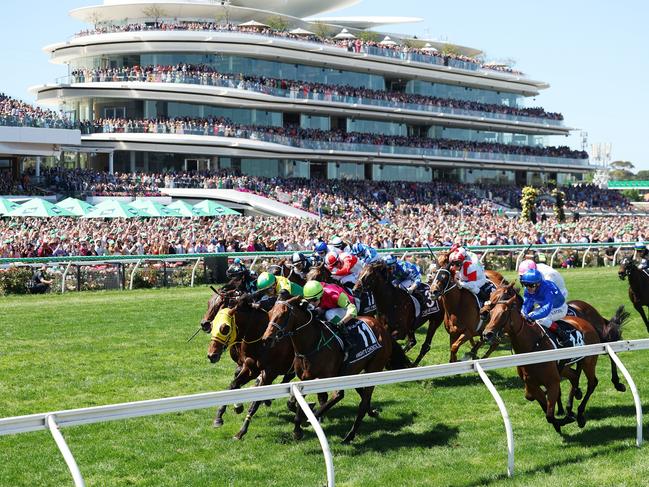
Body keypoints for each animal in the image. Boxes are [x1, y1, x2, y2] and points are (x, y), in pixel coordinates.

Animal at [206, 292, 298, 440]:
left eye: (225, 328)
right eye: (213, 325)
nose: (211, 355)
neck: (261, 340)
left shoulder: (269, 373)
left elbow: (255, 402)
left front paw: (241, 431)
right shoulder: (250, 368)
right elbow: (232, 385)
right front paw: (219, 417)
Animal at [260, 300, 408, 444]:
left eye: (283, 315)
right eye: (270, 313)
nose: (266, 338)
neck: (312, 344)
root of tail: (381, 327)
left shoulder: (329, 379)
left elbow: (335, 396)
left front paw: (309, 419)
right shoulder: (305, 379)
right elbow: (293, 402)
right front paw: (297, 429)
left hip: (374, 368)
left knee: (363, 403)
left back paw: (349, 436)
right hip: (355, 372)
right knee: (362, 394)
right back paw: (371, 412)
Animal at [480, 284, 624, 432]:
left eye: (503, 313)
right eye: (492, 313)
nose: (487, 334)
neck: (532, 347)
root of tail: (586, 323)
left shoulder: (552, 382)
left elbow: (549, 414)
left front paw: (565, 419)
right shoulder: (532, 384)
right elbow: (540, 404)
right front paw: (562, 418)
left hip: (589, 360)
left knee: (593, 381)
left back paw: (584, 411)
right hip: (568, 365)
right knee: (575, 376)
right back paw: (572, 404)